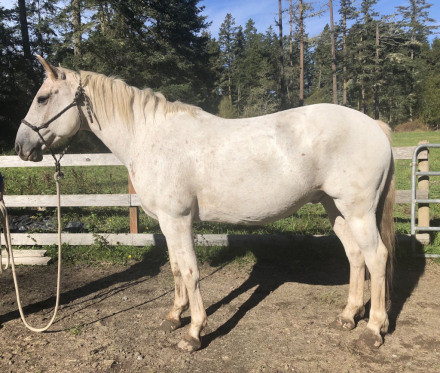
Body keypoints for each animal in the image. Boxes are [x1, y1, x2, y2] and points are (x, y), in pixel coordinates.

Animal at [16, 56, 396, 352]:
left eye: (43, 97)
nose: (21, 146)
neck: (149, 137)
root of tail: (374, 125)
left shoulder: (178, 219)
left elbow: (190, 272)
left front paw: (194, 333)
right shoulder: (166, 222)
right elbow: (174, 268)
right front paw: (173, 316)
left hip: (358, 211)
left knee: (376, 257)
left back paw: (372, 331)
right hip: (335, 208)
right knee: (355, 256)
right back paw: (348, 316)